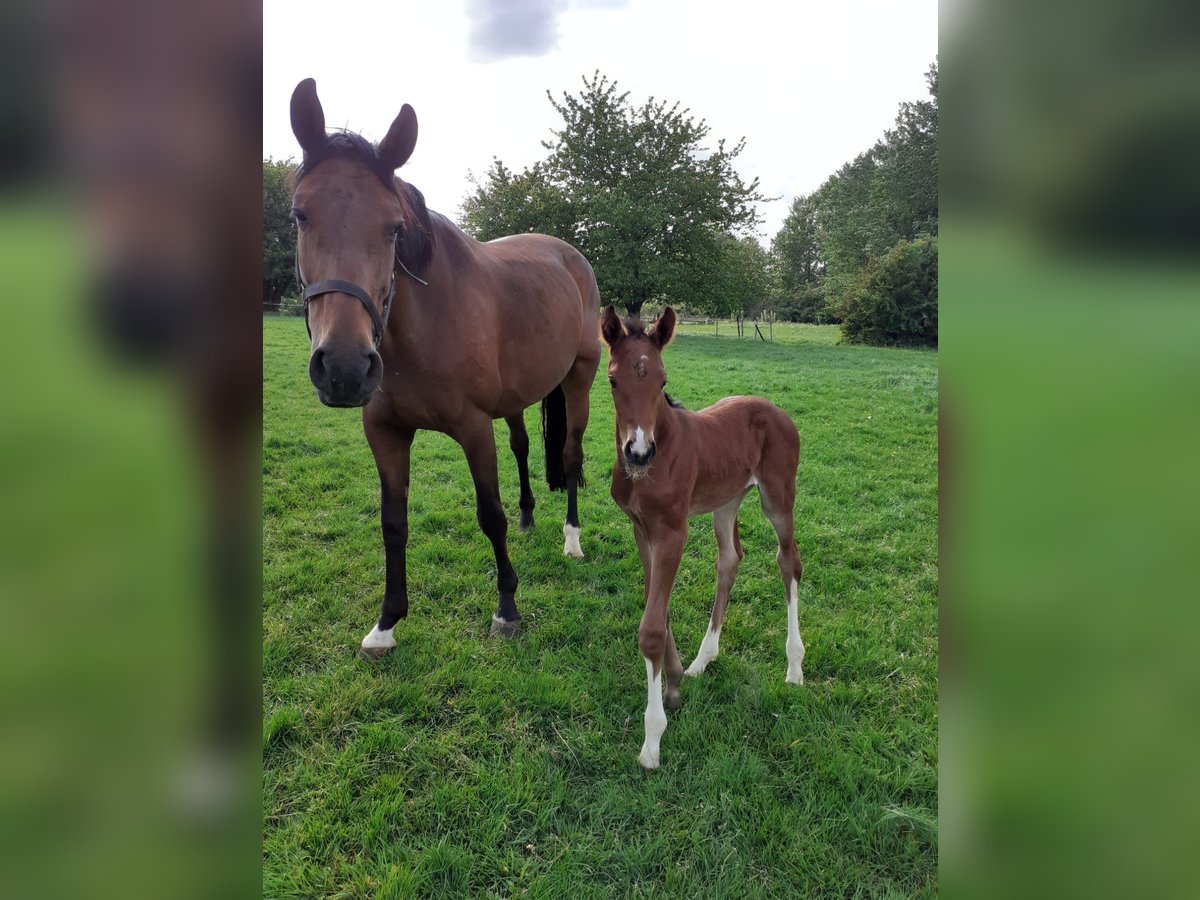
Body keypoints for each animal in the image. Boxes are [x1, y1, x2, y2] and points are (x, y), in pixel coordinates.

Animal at [290, 81, 600, 657]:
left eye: (393, 227)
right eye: (300, 215)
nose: (344, 367)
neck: (419, 329)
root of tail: (570, 256)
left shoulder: (474, 429)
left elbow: (489, 516)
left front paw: (507, 608)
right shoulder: (384, 431)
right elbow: (393, 523)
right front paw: (386, 623)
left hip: (580, 380)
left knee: (569, 456)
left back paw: (571, 539)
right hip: (518, 398)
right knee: (523, 446)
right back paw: (530, 515)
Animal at [600, 307, 806, 772]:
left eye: (662, 380)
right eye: (613, 380)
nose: (638, 452)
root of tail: (776, 410)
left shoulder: (672, 531)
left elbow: (651, 629)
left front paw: (652, 740)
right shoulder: (640, 528)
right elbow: (656, 609)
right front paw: (676, 681)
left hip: (777, 498)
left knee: (788, 563)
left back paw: (794, 666)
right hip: (726, 501)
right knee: (730, 559)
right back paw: (702, 660)